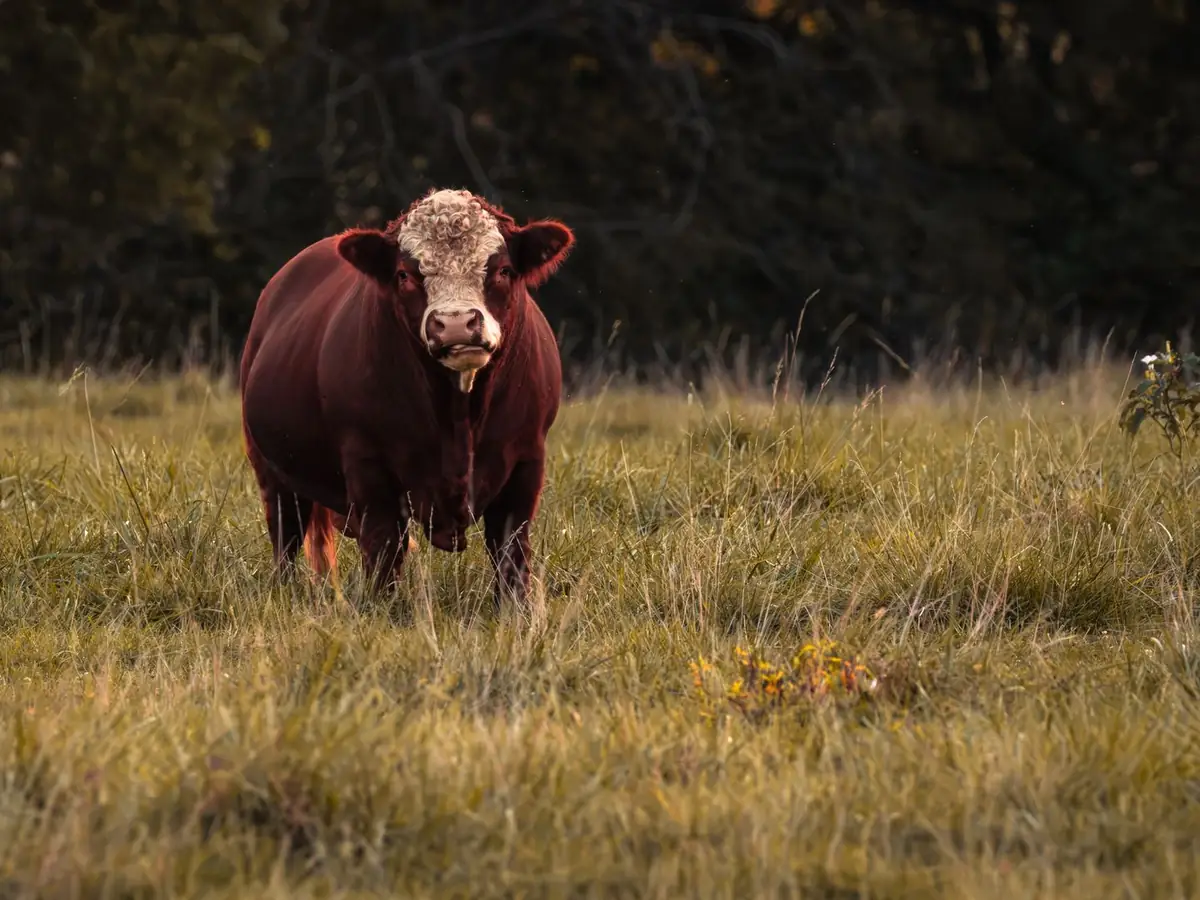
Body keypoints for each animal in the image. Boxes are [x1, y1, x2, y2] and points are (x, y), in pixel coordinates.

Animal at [239, 187, 574, 605]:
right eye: (405, 274)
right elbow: (384, 547)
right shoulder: (369, 463)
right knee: (285, 537)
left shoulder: (526, 459)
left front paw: (515, 608)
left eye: (503, 270)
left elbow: (511, 548)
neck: (458, 419)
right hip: (272, 470)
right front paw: (383, 606)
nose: (455, 323)